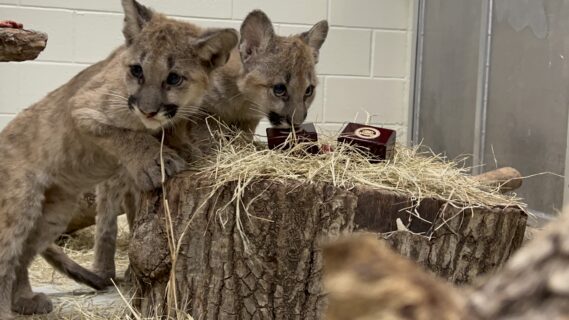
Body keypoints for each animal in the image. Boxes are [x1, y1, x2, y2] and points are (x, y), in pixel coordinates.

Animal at [0, 0, 237, 316]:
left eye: (174, 78)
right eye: (137, 70)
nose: (148, 110)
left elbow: (172, 131)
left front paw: (190, 152)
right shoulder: (83, 109)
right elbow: (128, 135)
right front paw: (158, 162)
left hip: (54, 213)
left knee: (23, 255)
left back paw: (25, 300)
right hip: (19, 203)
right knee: (6, 257)